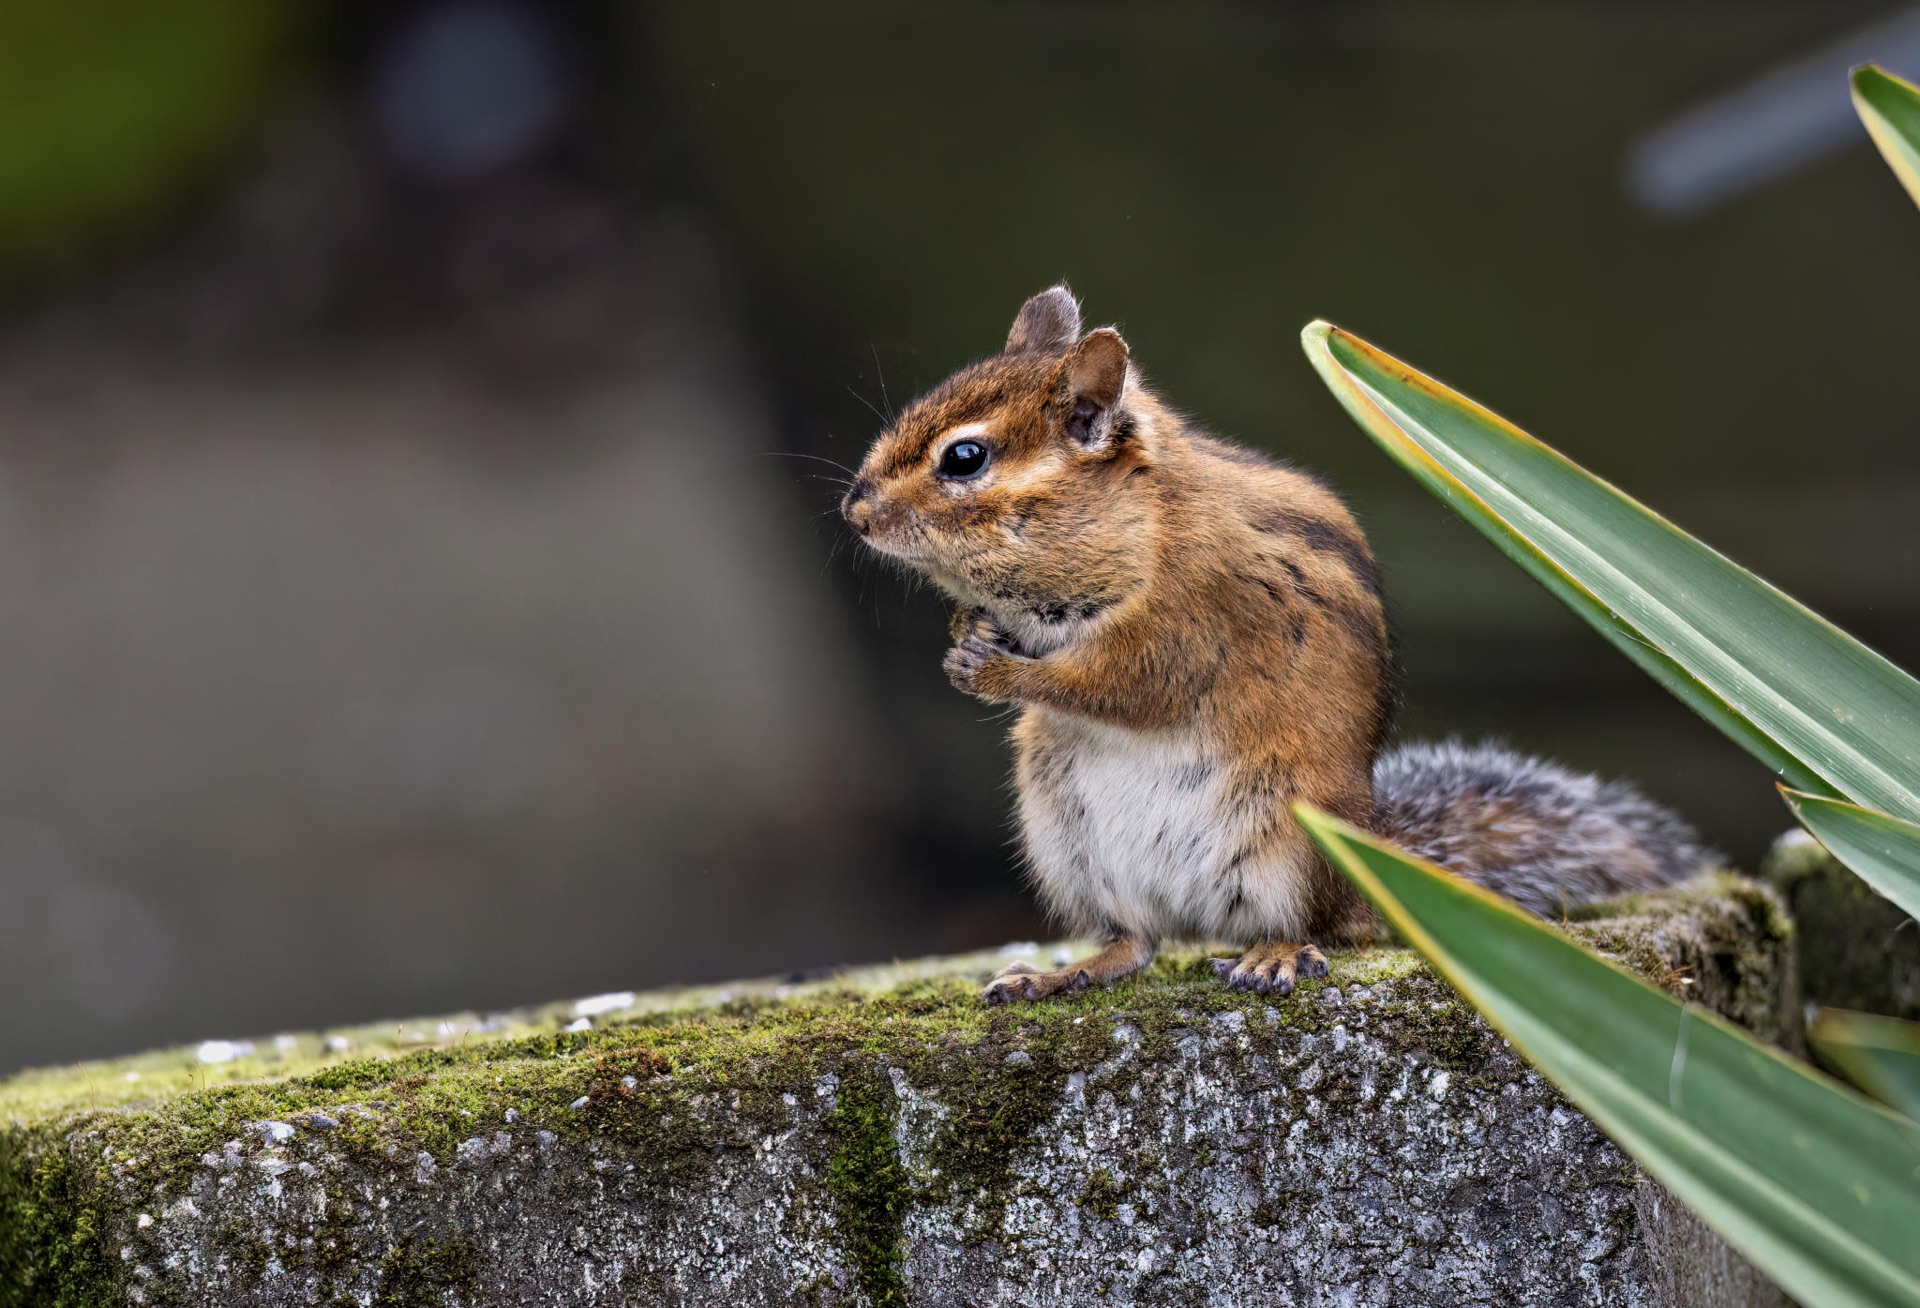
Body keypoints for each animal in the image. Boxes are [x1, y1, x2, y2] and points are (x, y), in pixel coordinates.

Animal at [841, 285, 1710, 1005]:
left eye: (965, 458)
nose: (856, 511)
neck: (1133, 522)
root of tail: (1367, 881)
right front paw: (966, 635)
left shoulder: (1189, 622)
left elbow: (1120, 684)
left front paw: (992, 670)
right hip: (1067, 841)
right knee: (1136, 942)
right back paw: (1061, 972)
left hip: (1289, 838)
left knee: (1307, 929)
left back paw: (1275, 956)